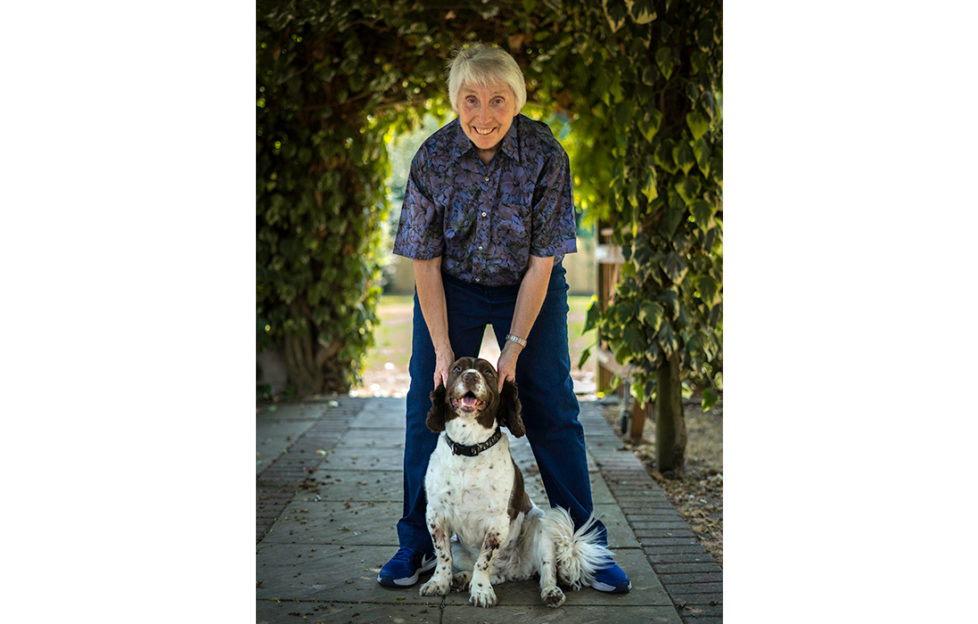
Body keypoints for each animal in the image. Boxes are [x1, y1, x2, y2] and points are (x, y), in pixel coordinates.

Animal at [418, 358, 608, 608]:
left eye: (488, 372)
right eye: (457, 369)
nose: (470, 376)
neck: (469, 448)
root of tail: (515, 570)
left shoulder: (498, 520)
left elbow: (484, 559)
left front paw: (481, 591)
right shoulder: (436, 514)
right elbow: (443, 555)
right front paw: (439, 583)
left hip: (543, 526)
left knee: (547, 571)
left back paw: (551, 592)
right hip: (461, 547)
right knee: (493, 573)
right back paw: (462, 579)